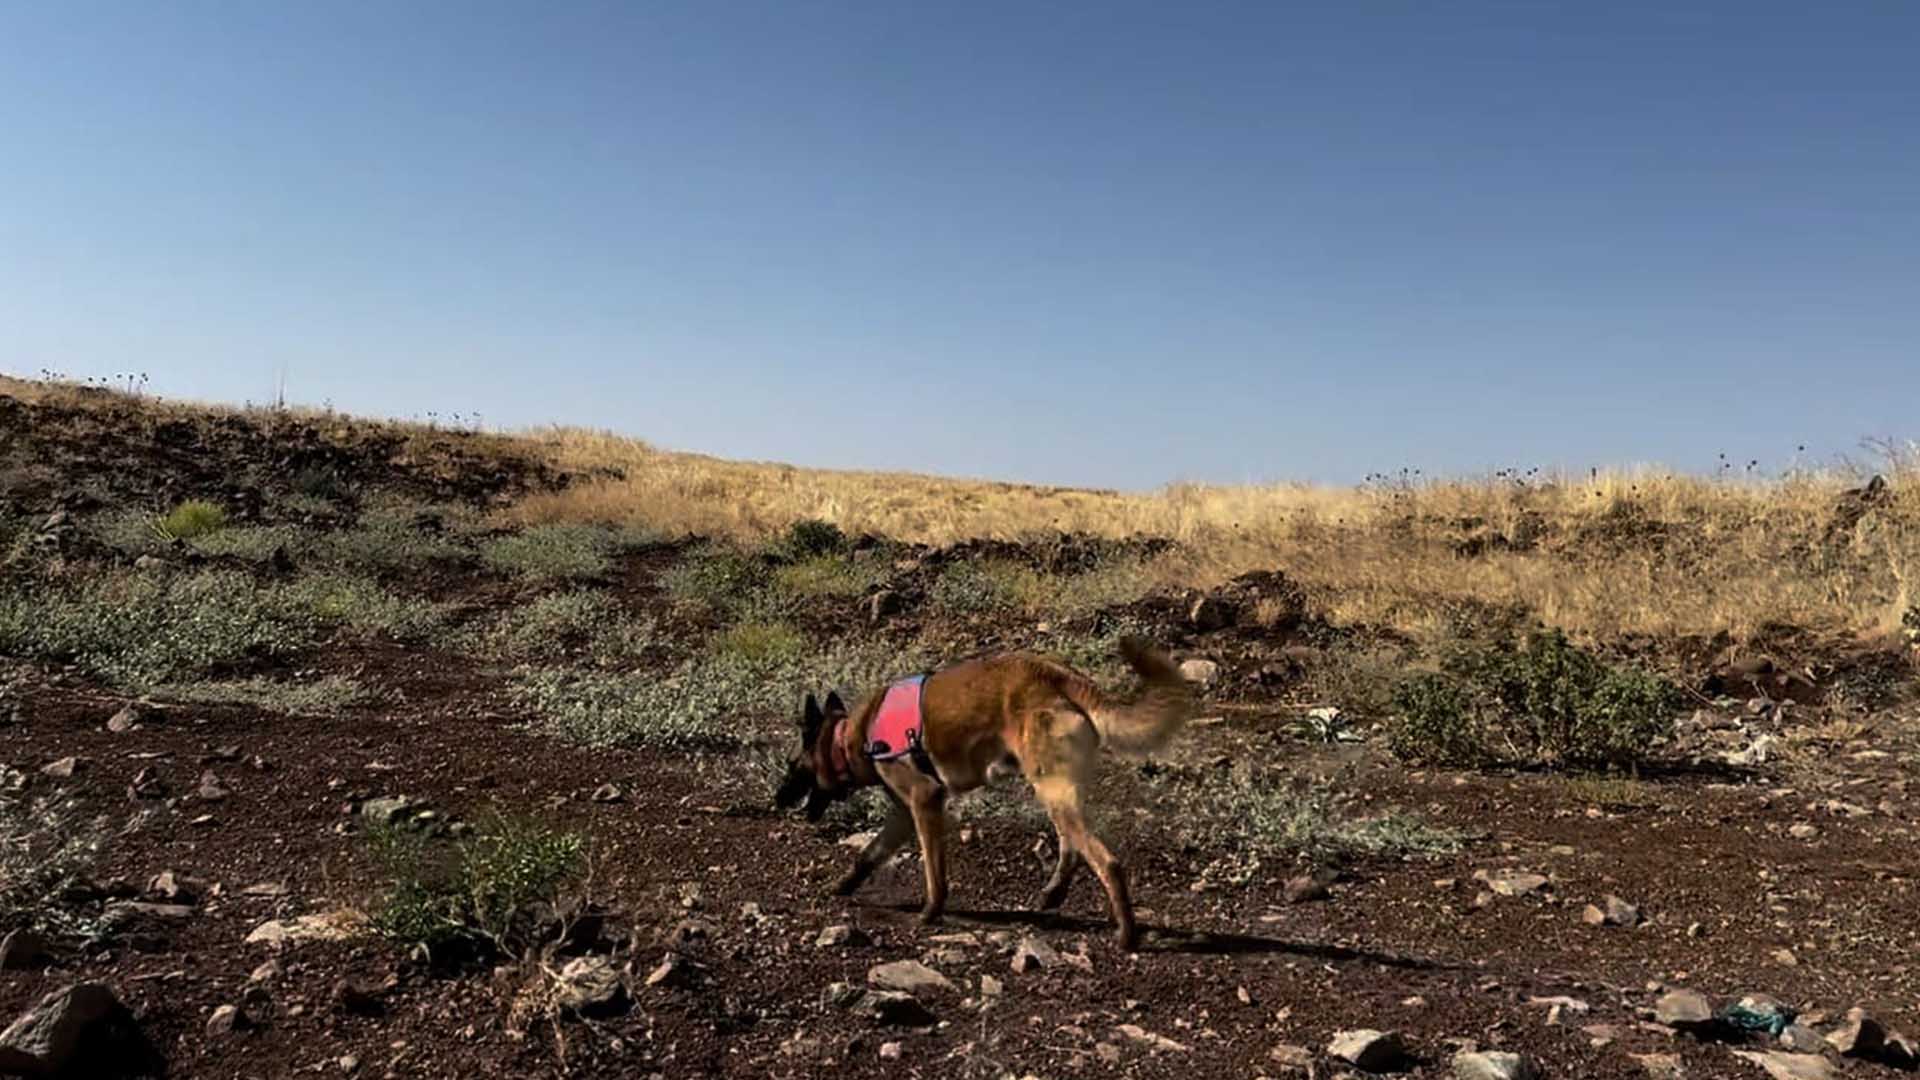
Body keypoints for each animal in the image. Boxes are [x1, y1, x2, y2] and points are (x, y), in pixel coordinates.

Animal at [771, 634, 1190, 945]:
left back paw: (1126, 934)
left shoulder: (925, 800)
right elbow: (869, 854)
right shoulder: (903, 814)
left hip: (1049, 786)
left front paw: (930, 912)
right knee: (1072, 843)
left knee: (1107, 861)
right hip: (1056, 789)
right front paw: (845, 884)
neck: (852, 736)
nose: (777, 799)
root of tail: (1056, 674)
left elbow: (934, 870)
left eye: (792, 765)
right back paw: (1054, 893)